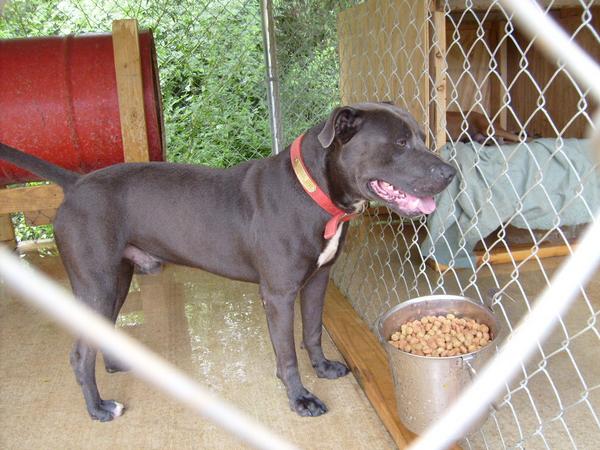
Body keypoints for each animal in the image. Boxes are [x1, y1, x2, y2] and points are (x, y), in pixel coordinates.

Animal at [0, 102, 455, 421]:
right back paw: (98, 410)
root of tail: (76, 184)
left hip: (116, 278)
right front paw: (301, 399)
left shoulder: (317, 280)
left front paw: (323, 367)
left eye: (420, 136)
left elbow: (311, 332)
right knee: (79, 355)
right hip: (95, 281)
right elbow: (287, 355)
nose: (451, 173)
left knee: (103, 329)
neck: (313, 191)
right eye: (399, 143)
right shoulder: (279, 294)